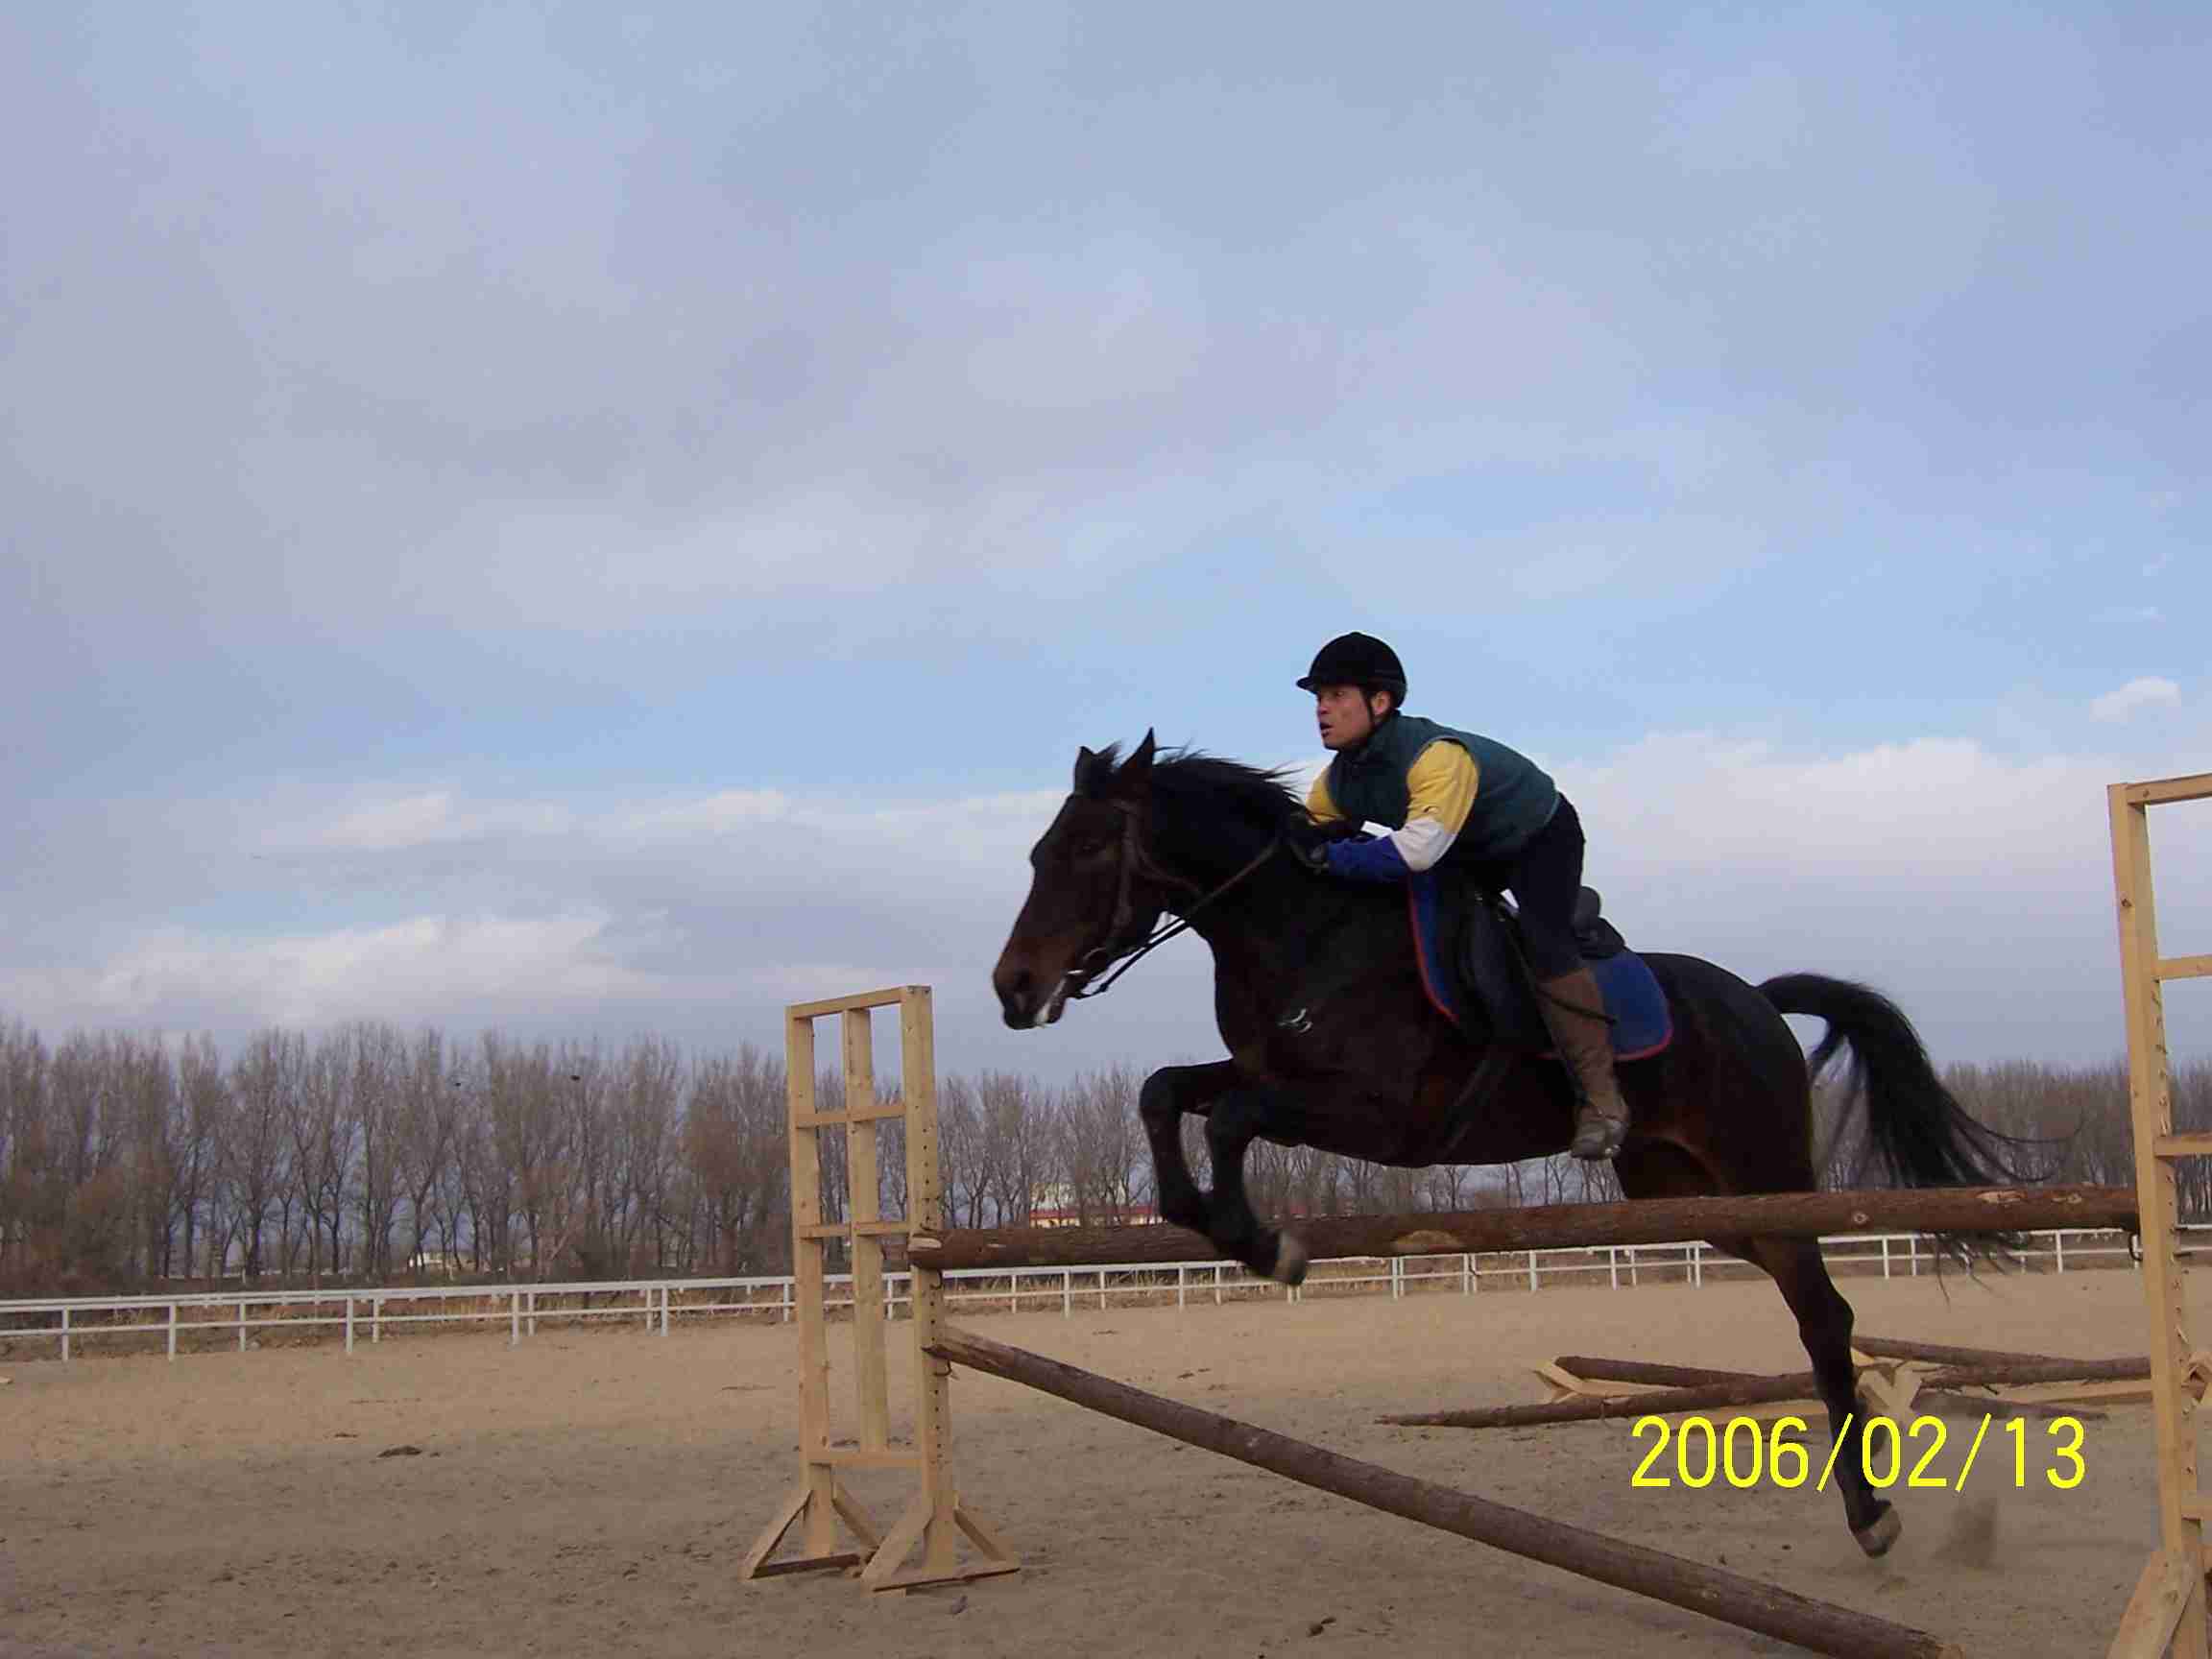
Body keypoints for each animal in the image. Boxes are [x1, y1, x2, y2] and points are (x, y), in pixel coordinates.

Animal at [991, 733, 2034, 1566]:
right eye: (1039, 851)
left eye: (1089, 849)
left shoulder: (1378, 1116)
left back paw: (1871, 1513)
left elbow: (1233, 1118)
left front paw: (1264, 1242)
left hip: (1766, 1174)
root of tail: (1759, 1001)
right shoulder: (1266, 1076)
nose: (1014, 987)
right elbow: (1168, 1091)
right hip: (1688, 1193)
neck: (1303, 931)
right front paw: (1201, 1218)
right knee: (1809, 1299)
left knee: (1823, 1313)